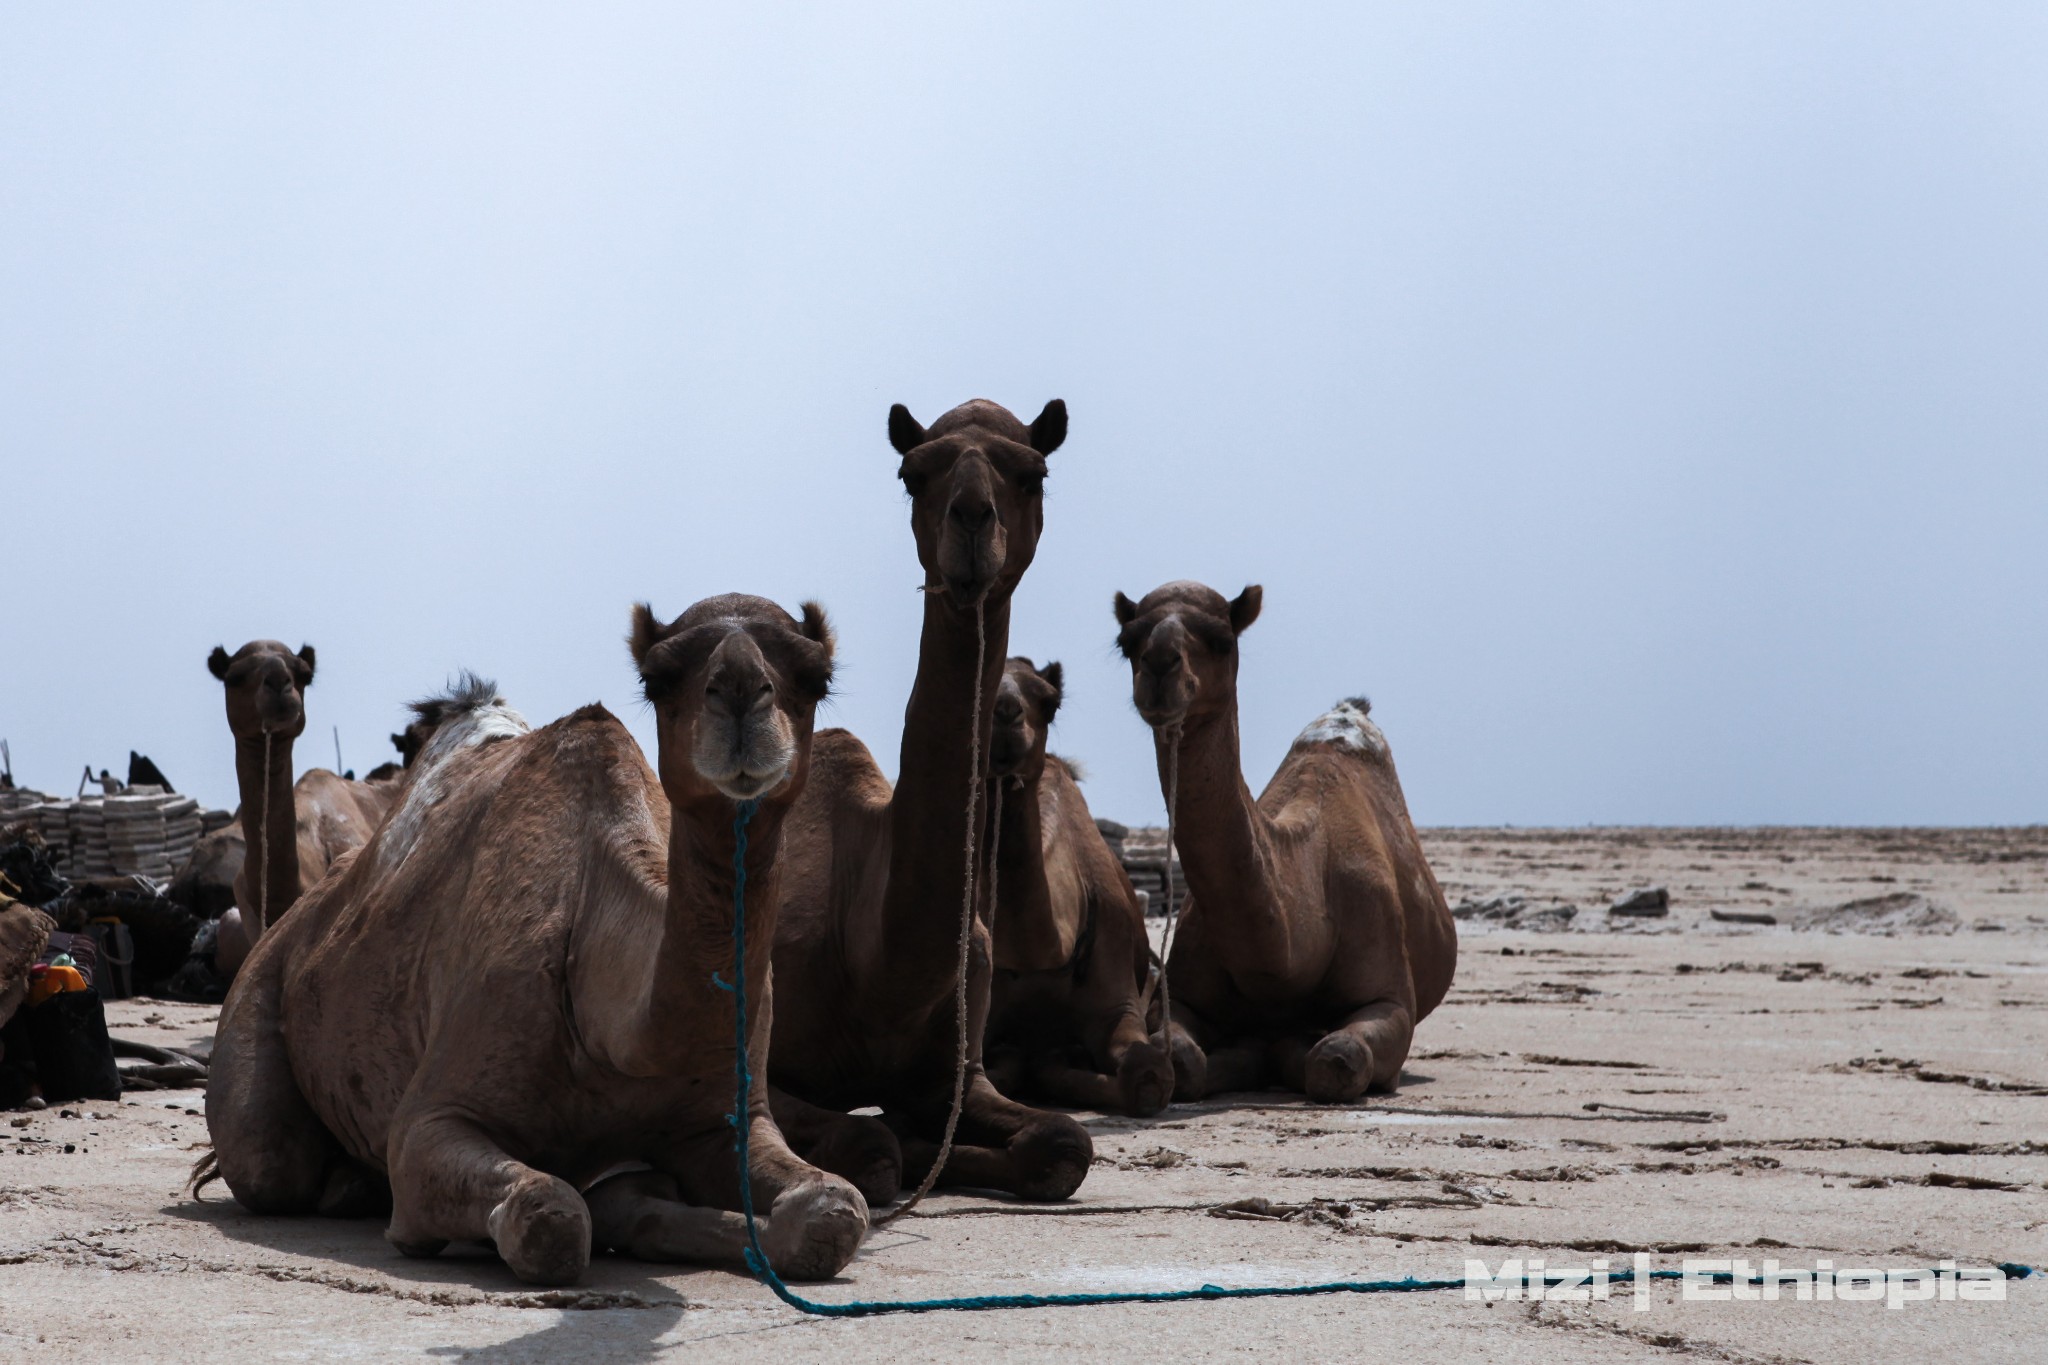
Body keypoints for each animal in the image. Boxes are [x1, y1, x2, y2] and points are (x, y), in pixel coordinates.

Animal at [207, 593, 872, 1285]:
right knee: (270, 1159)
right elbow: (549, 1214)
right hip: (261, 990)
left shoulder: (732, 1120)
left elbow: (833, 1208)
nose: (741, 691)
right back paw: (347, 1186)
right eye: (657, 679)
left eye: (817, 677)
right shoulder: (428, 1121)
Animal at [770, 397, 1097, 1203]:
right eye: (911, 473)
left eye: (1033, 472)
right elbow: (868, 1144)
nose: (972, 519)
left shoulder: (958, 1072)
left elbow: (1064, 1141)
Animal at [1105, 581, 1458, 1105]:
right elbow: (1184, 1060)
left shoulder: (1389, 994)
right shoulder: (1181, 995)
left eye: (1221, 639)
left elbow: (1335, 1058)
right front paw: (1244, 1054)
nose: (1159, 665)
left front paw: (1288, 1047)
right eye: (1127, 642)